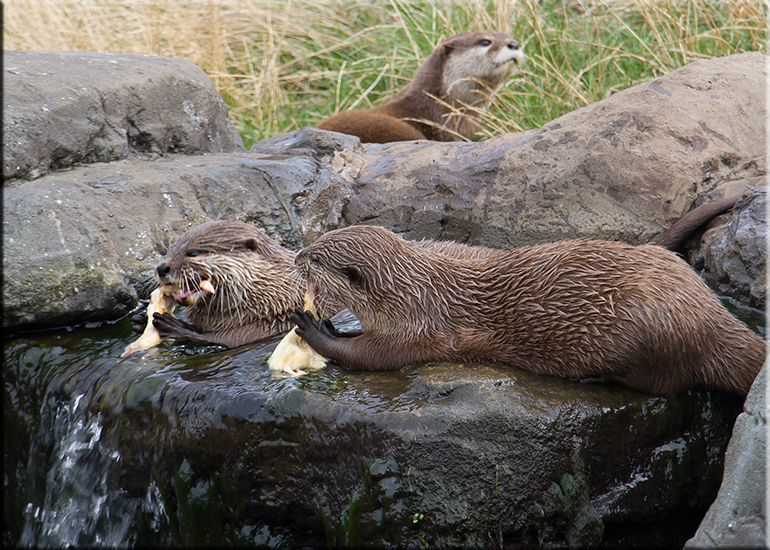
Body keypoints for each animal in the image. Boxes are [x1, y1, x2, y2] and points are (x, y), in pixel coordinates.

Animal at [290, 225, 765, 396]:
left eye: (316, 258)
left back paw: (596, 377)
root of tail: (711, 315)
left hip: (655, 332)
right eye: (313, 245)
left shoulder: (419, 330)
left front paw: (312, 326)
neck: (414, 293)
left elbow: (368, 357)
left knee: (665, 385)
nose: (296, 255)